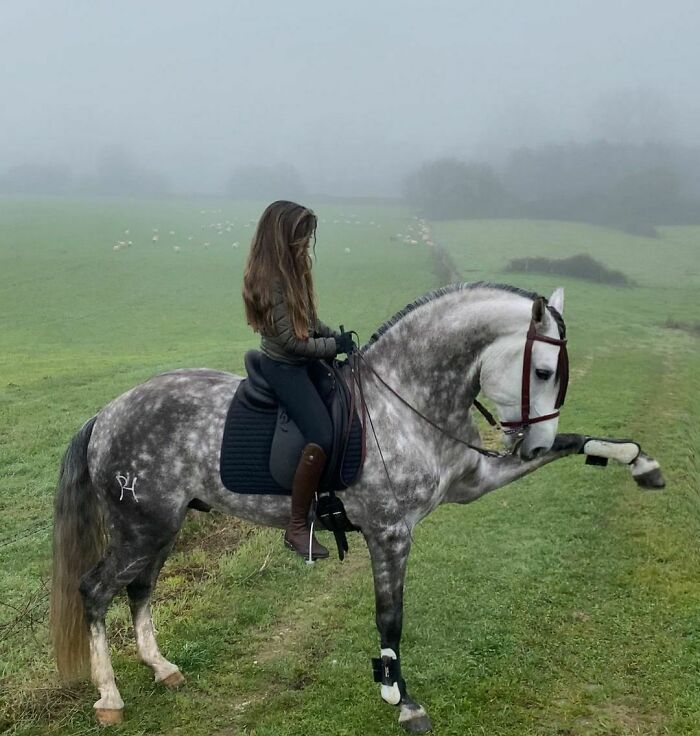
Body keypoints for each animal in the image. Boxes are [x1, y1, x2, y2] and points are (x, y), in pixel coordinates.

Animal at [50, 282, 664, 732]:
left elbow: (581, 443)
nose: (531, 445)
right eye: (542, 372)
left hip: (160, 529)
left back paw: (161, 668)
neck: (407, 400)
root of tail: (107, 413)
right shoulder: (390, 532)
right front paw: (399, 695)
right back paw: (110, 697)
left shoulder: (476, 480)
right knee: (96, 591)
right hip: (141, 529)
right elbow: (390, 615)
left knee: (139, 589)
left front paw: (639, 462)